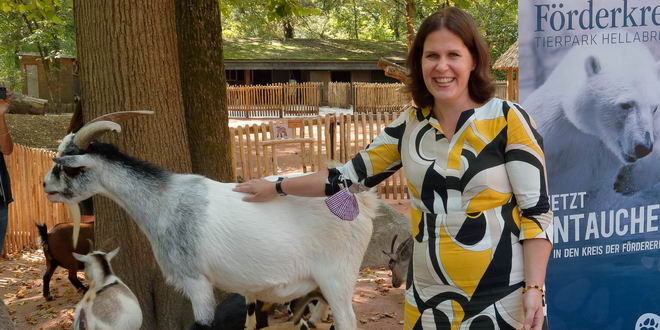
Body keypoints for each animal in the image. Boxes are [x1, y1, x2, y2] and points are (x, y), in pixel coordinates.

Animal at [42, 111, 376, 330]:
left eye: (67, 167)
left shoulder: (196, 282)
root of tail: (361, 203)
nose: (46, 186)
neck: (164, 202)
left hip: (337, 276)